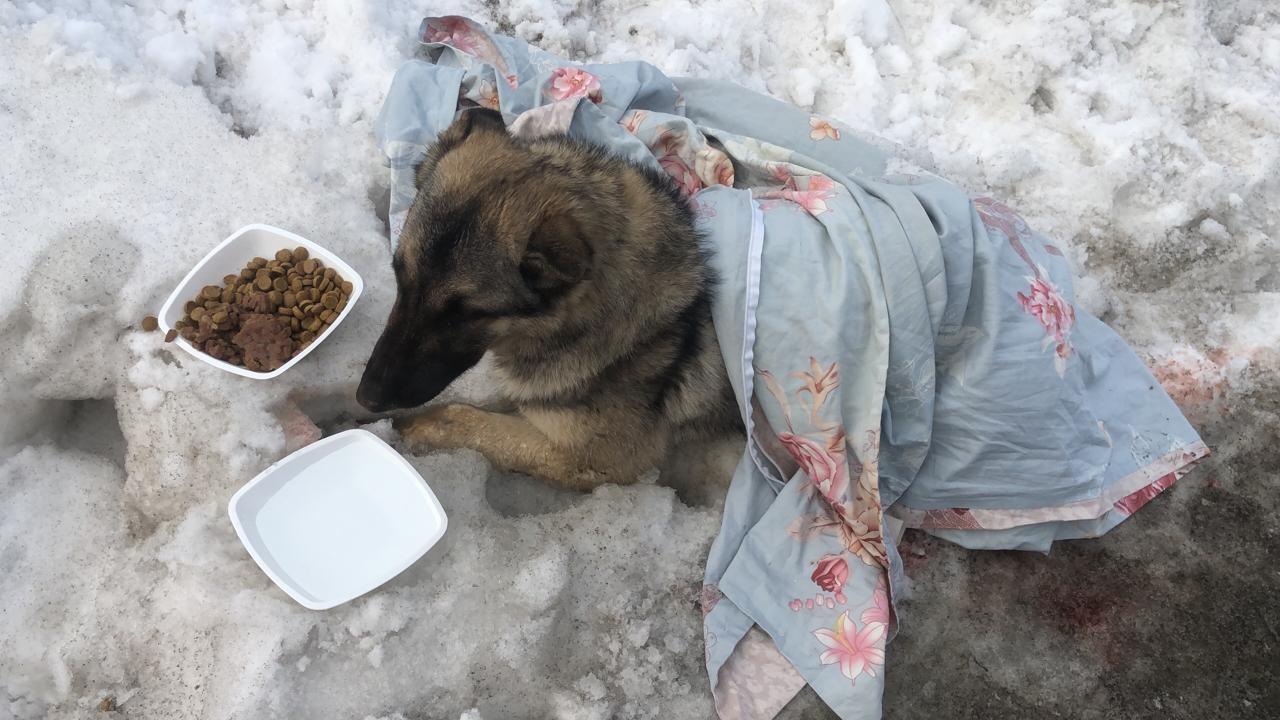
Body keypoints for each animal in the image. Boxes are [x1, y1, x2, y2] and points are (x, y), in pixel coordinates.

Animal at [358, 107, 742, 486]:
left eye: (465, 313)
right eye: (399, 275)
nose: (366, 397)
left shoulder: (600, 457)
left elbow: (466, 418)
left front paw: (412, 427)